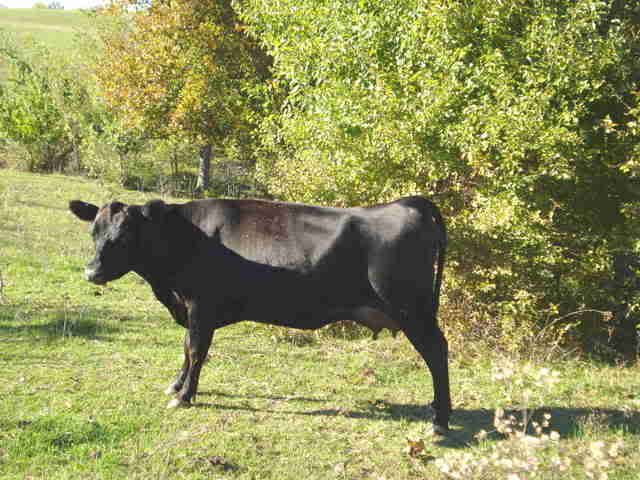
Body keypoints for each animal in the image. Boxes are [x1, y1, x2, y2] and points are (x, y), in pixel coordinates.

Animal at [68, 196, 451, 433]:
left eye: (125, 235)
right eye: (94, 232)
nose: (91, 272)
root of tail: (407, 203)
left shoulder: (201, 305)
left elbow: (196, 350)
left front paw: (185, 396)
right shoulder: (191, 309)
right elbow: (186, 348)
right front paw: (176, 385)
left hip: (412, 310)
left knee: (437, 353)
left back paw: (441, 419)